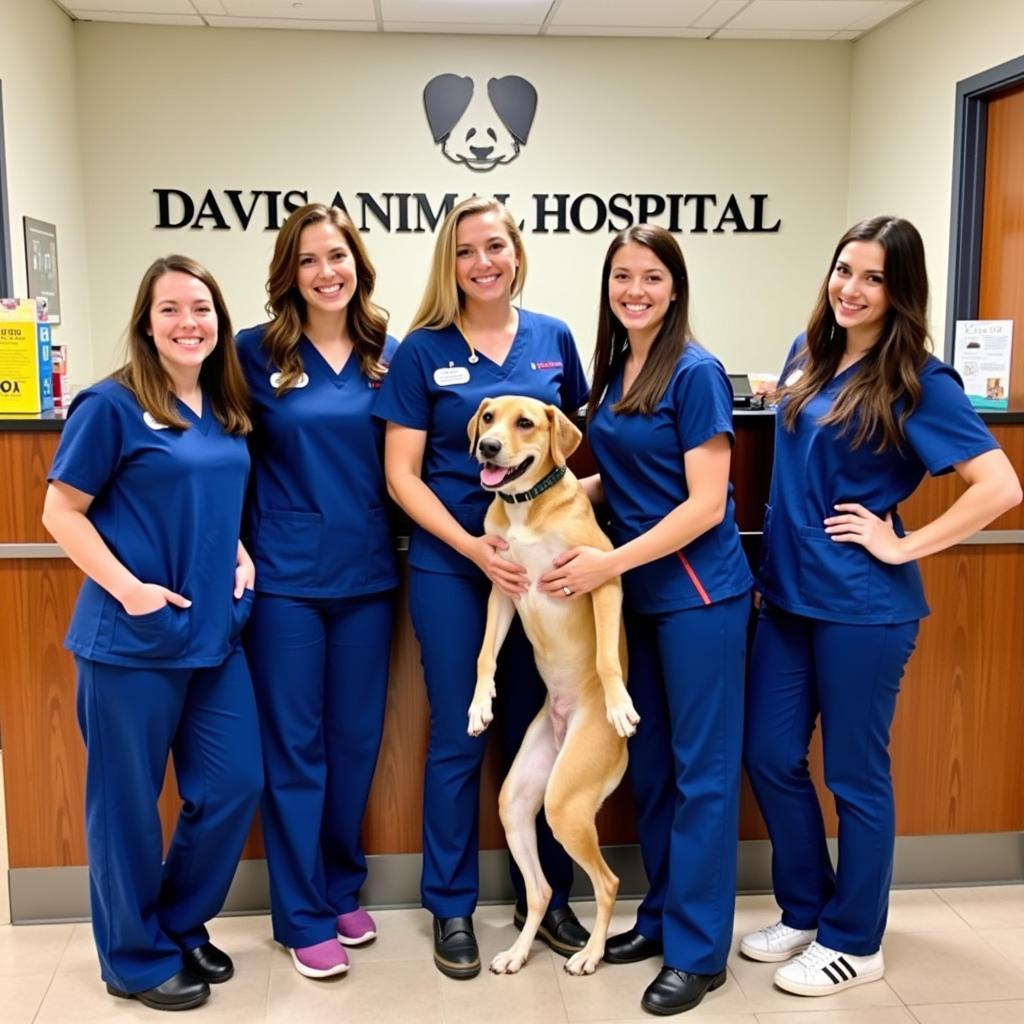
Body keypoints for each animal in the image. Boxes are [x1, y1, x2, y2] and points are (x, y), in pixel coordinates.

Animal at [466, 393, 638, 974]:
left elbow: (607, 657)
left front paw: (620, 704)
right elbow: (484, 656)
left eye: (525, 422)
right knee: (540, 890)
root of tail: (565, 729)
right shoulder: (501, 589)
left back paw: (590, 955)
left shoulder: (601, 577)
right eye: (489, 418)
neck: (525, 508)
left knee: (608, 882)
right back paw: (518, 953)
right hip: (517, 801)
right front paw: (479, 707)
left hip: (565, 802)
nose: (488, 447)